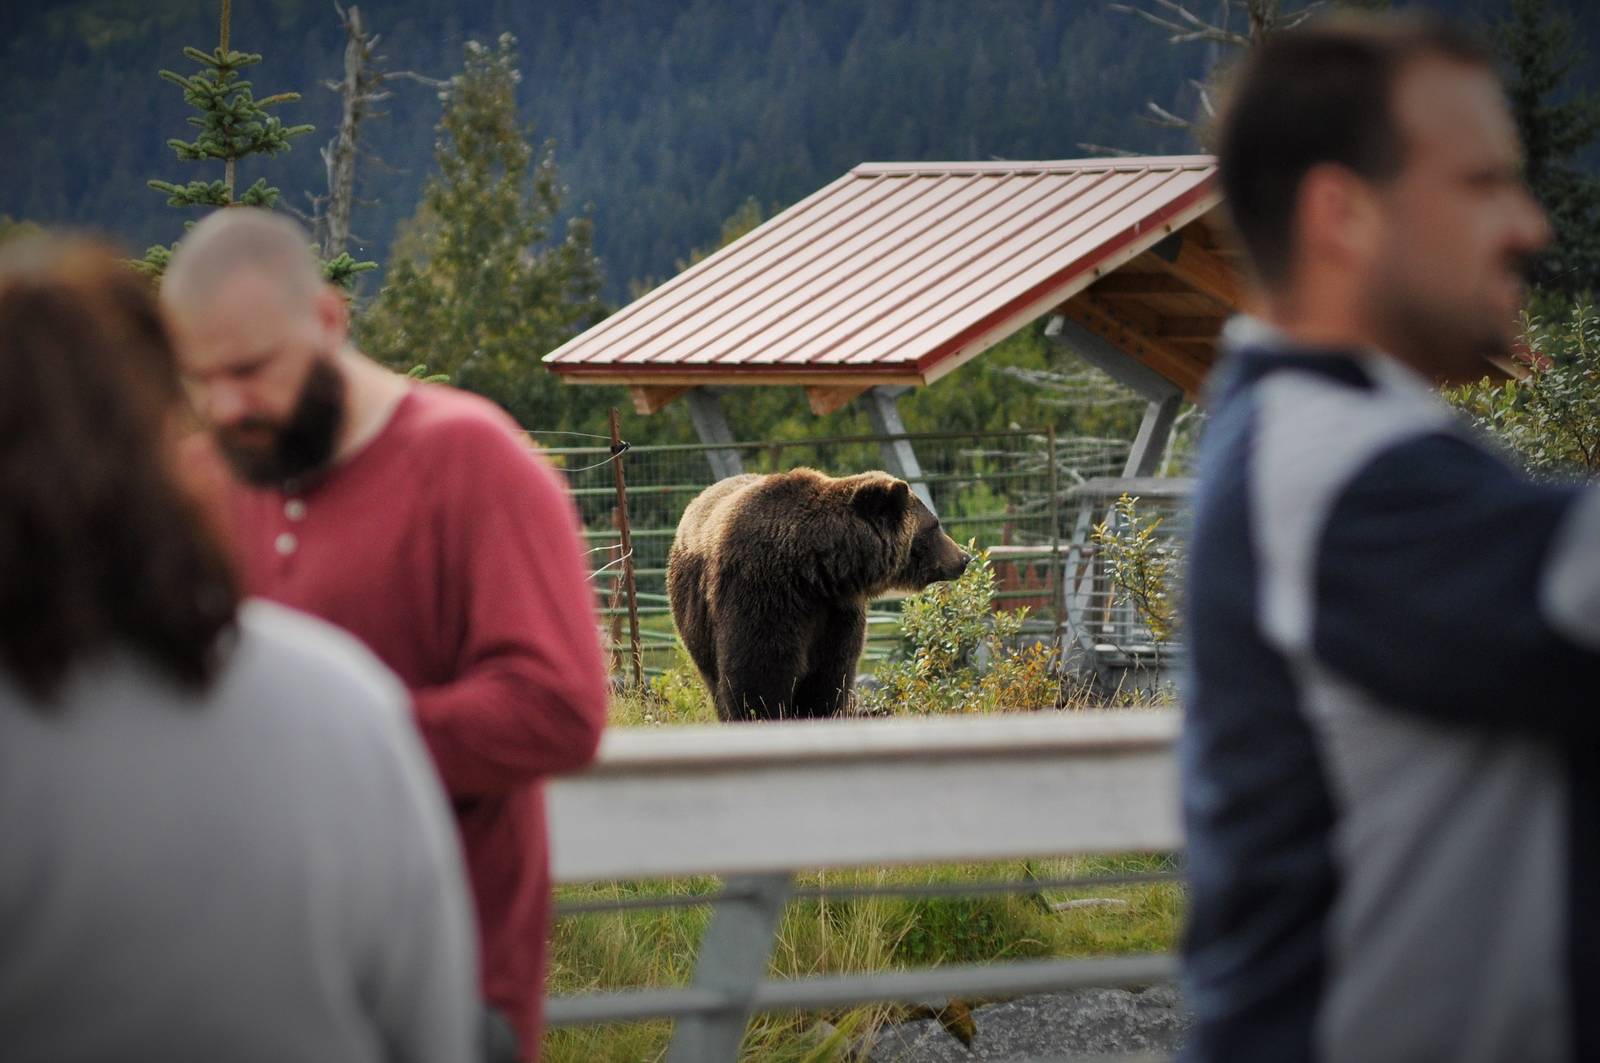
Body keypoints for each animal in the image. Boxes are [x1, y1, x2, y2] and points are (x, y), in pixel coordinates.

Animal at [667, 468, 971, 721]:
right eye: (934, 526)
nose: (964, 557)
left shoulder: (835, 609)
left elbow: (828, 672)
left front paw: (815, 711)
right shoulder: (761, 592)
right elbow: (758, 670)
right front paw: (762, 713)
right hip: (694, 614)